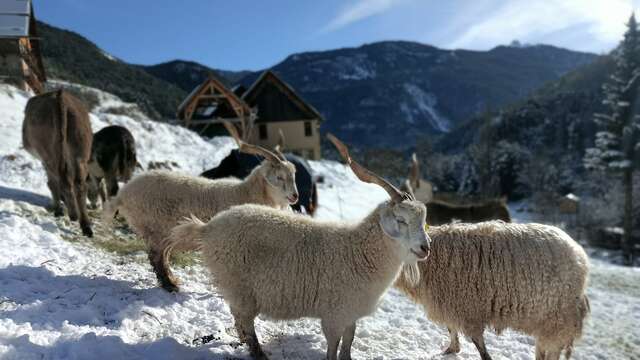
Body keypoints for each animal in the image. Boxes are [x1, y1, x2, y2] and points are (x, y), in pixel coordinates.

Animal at [22, 89, 93, 236]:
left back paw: (66, 212)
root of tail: (60, 98)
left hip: (48, 152)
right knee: (79, 185)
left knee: (58, 181)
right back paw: (85, 225)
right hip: (80, 150)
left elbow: (51, 183)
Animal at [101, 121, 298, 292]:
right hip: (154, 229)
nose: (295, 196)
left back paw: (172, 281)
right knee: (157, 257)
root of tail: (123, 194)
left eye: (293, 175)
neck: (245, 192)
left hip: (167, 233)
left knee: (162, 255)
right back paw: (170, 285)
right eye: (279, 177)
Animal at [168, 135, 432, 360]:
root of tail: (208, 228)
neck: (360, 251)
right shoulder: (333, 316)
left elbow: (347, 345)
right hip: (239, 288)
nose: (425, 248)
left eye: (423, 220)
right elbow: (333, 350)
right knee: (245, 321)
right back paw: (258, 353)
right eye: (401, 220)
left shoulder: (350, 316)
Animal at [396, 221, 592, 358]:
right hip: (546, 320)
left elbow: (478, 344)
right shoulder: (452, 304)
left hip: (557, 319)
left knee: (553, 350)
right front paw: (452, 349)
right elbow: (451, 328)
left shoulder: (466, 308)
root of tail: (580, 255)